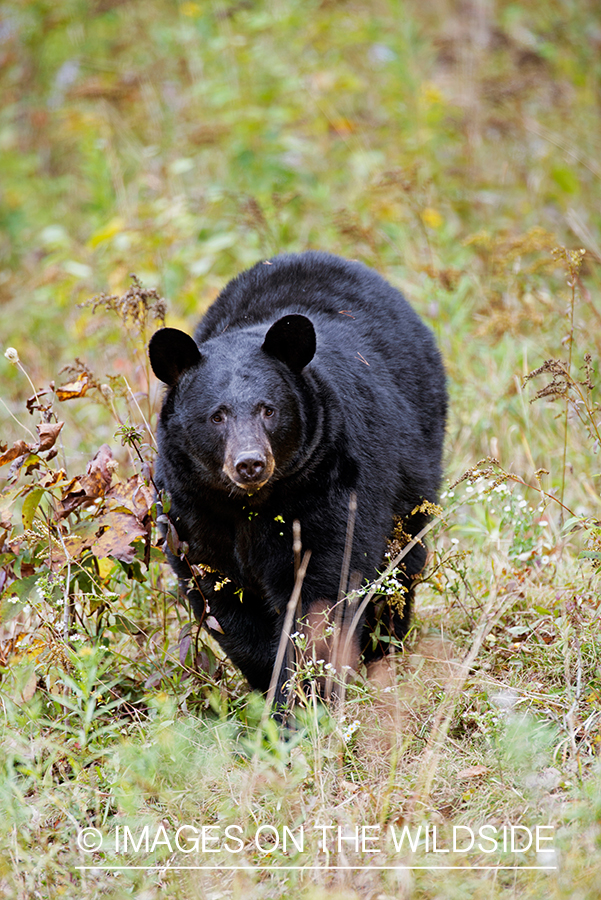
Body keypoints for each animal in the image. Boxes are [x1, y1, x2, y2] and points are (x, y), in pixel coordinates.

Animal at [148, 251, 447, 712]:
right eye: (217, 416)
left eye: (268, 409)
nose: (250, 464)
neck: (251, 506)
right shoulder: (193, 508)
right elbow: (220, 598)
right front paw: (271, 691)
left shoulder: (329, 489)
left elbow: (325, 589)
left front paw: (305, 699)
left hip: (416, 465)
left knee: (402, 566)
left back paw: (384, 654)